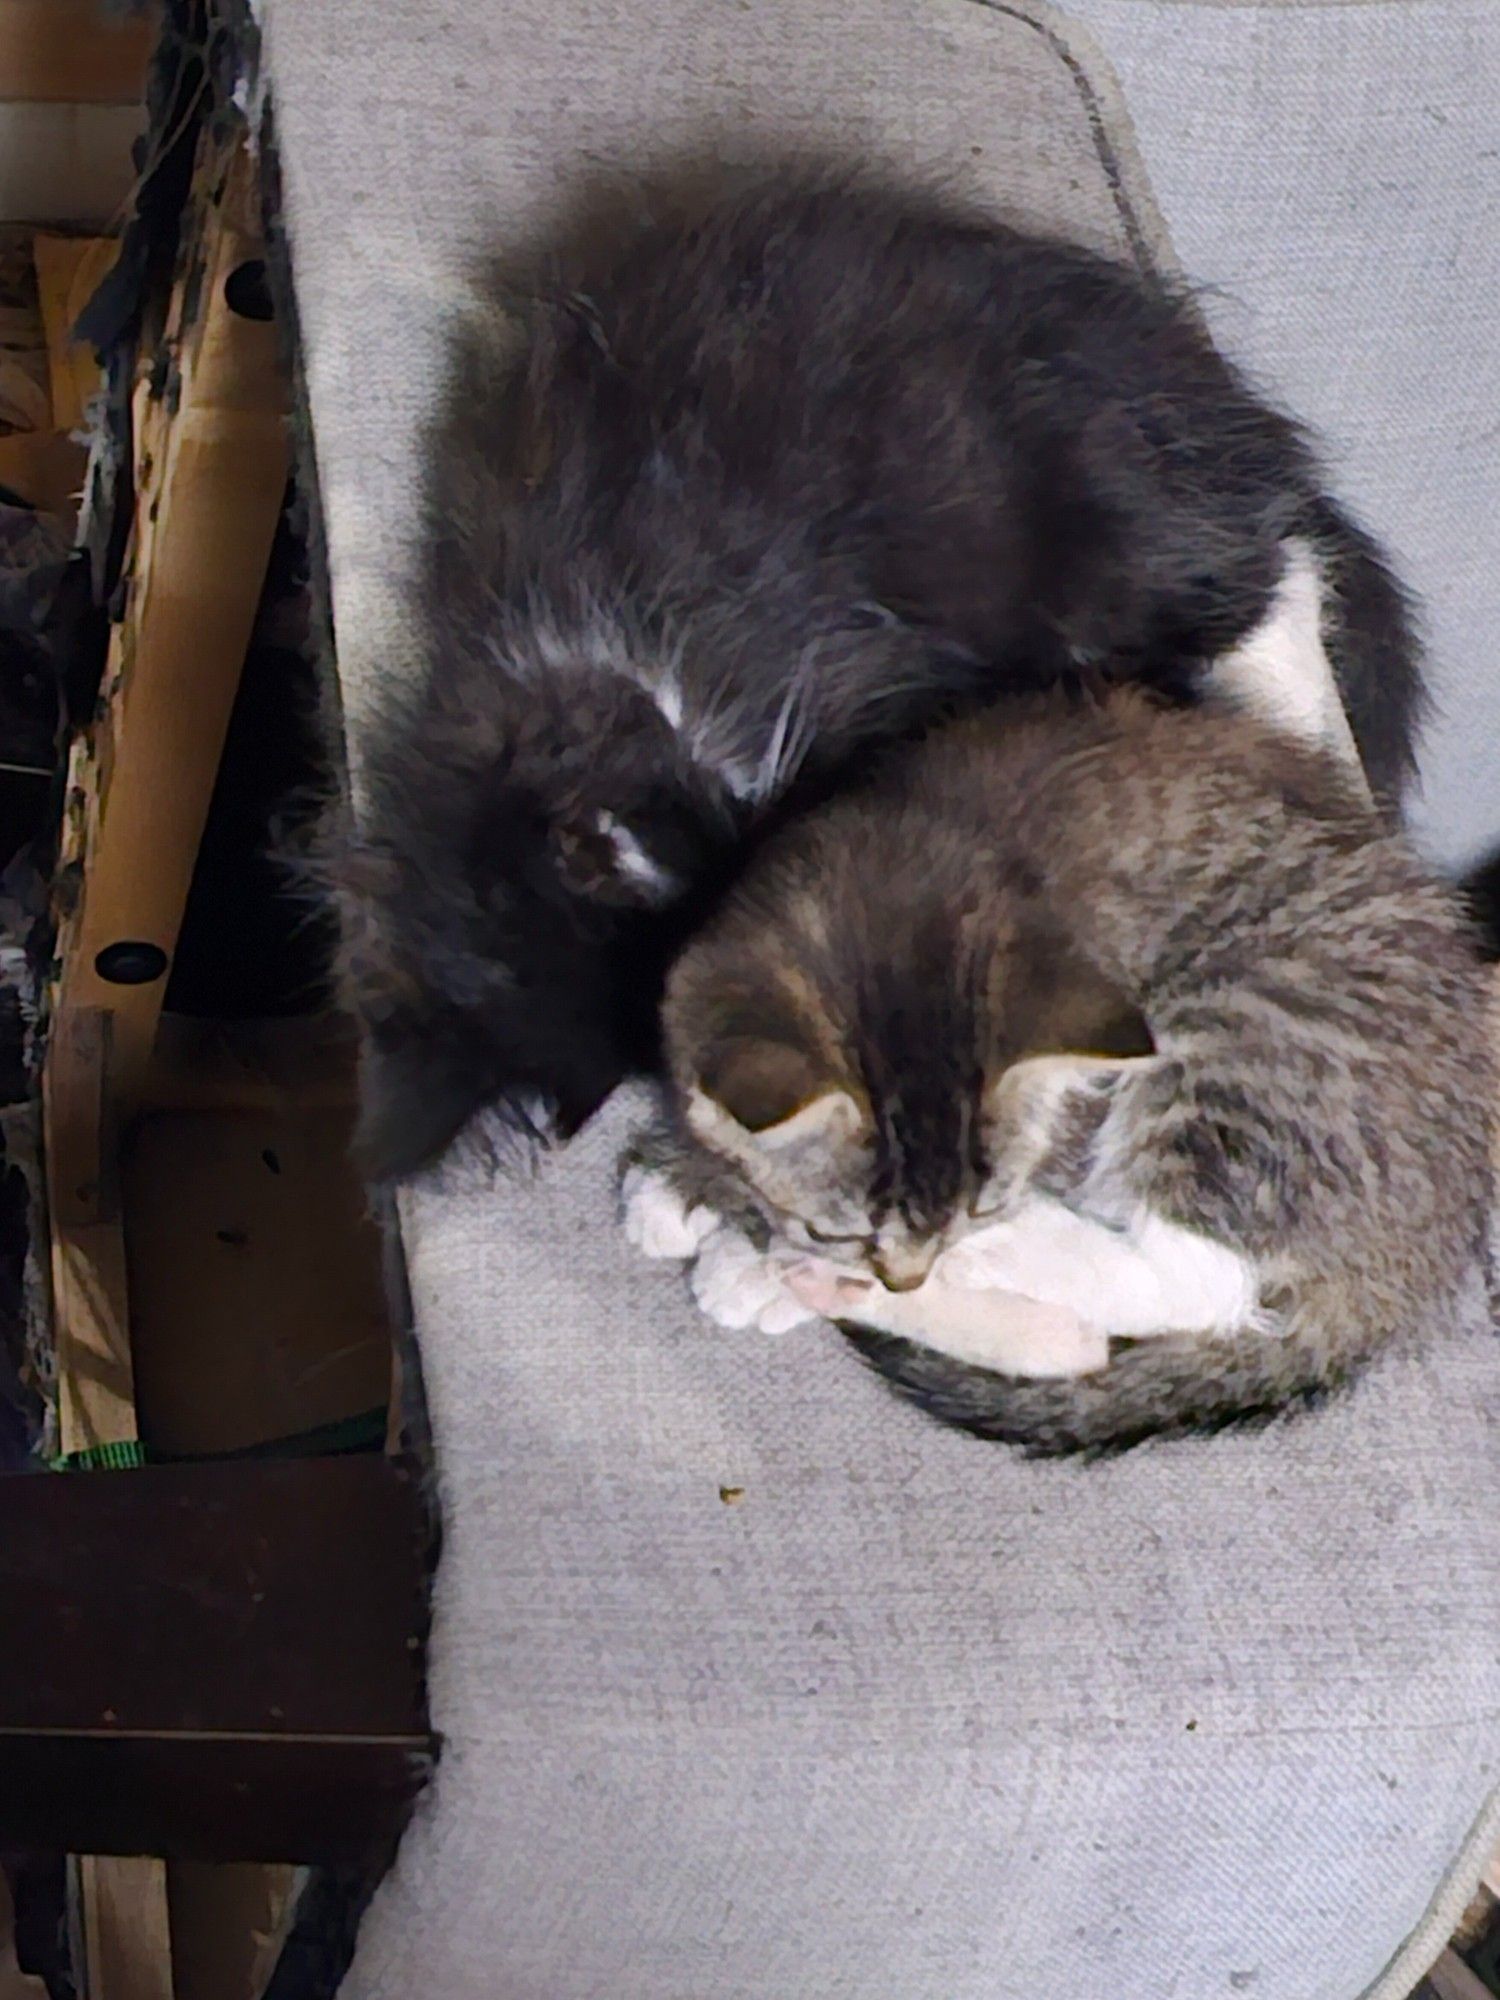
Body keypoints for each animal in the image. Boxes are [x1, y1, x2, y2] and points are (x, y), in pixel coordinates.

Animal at [632, 688, 1496, 1456]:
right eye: (834, 1226)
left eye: (976, 1210)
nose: (910, 1273)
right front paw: (684, 1174)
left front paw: (748, 1245)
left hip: (1245, 1034)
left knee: (1184, 1291)